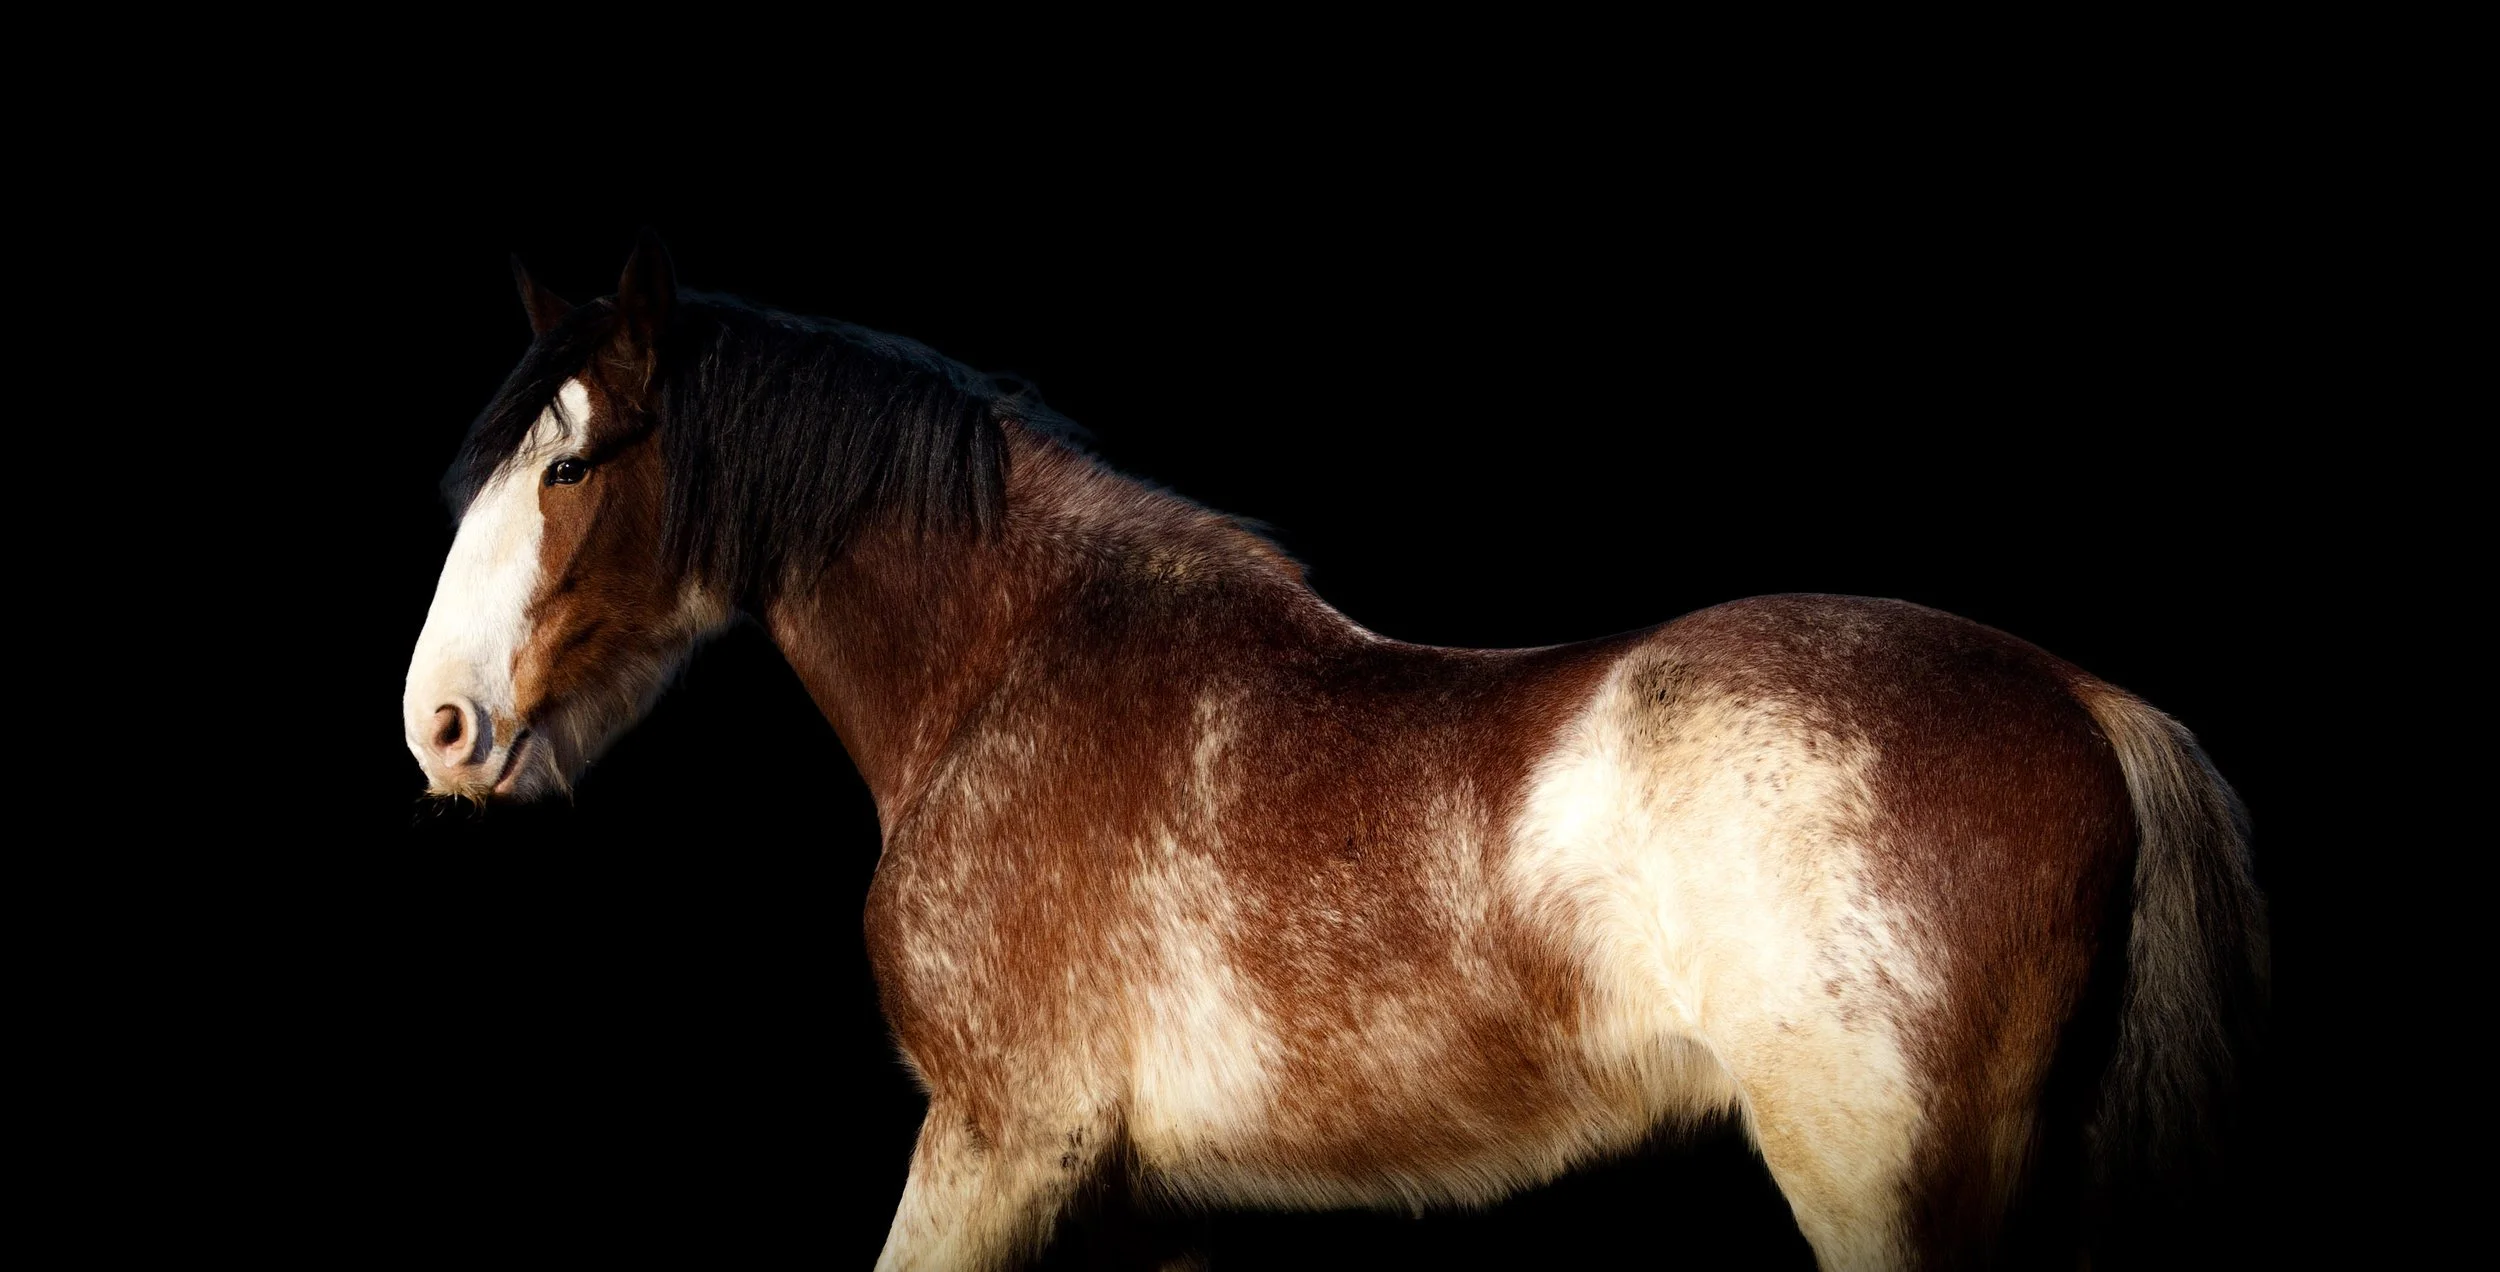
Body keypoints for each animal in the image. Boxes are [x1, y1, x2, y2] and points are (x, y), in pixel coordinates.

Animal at [401, 232, 2267, 1271]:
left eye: (570, 465)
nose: (439, 725)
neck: (1015, 673)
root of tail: (2087, 701)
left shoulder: (997, 1146)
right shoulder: (1143, 1199)